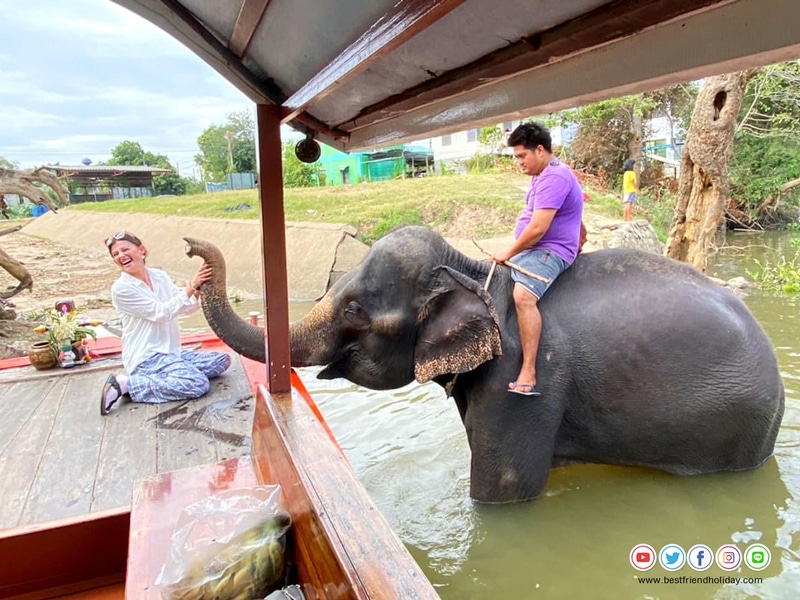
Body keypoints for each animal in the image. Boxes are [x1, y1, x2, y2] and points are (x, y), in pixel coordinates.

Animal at [184, 227, 784, 504]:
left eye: (355, 309)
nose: (192, 250)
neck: (472, 273)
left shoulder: (525, 380)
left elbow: (504, 488)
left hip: (732, 421)